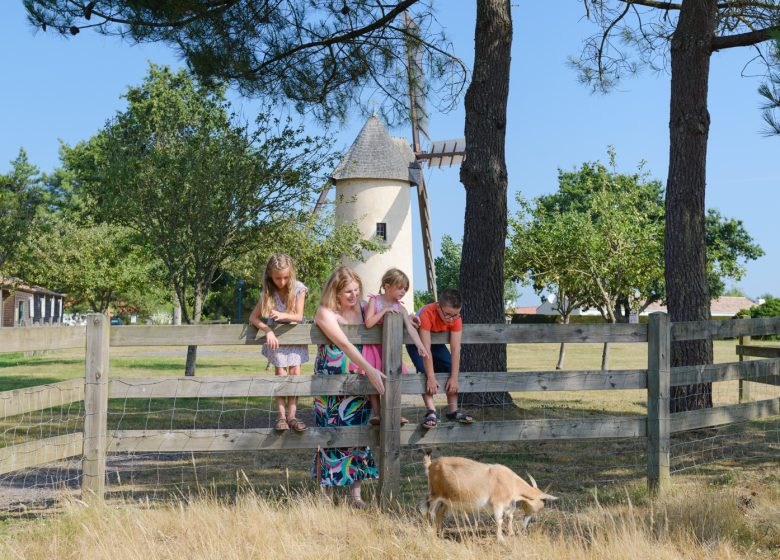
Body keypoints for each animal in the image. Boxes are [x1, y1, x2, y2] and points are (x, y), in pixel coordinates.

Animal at [424, 450, 556, 540]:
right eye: (539, 507)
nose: (526, 525)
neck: (511, 482)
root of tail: (431, 465)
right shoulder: (497, 503)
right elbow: (499, 520)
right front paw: (501, 539)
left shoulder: (508, 504)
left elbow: (510, 517)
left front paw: (511, 533)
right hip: (434, 495)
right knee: (429, 513)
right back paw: (430, 533)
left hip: (446, 499)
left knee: (440, 513)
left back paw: (440, 534)